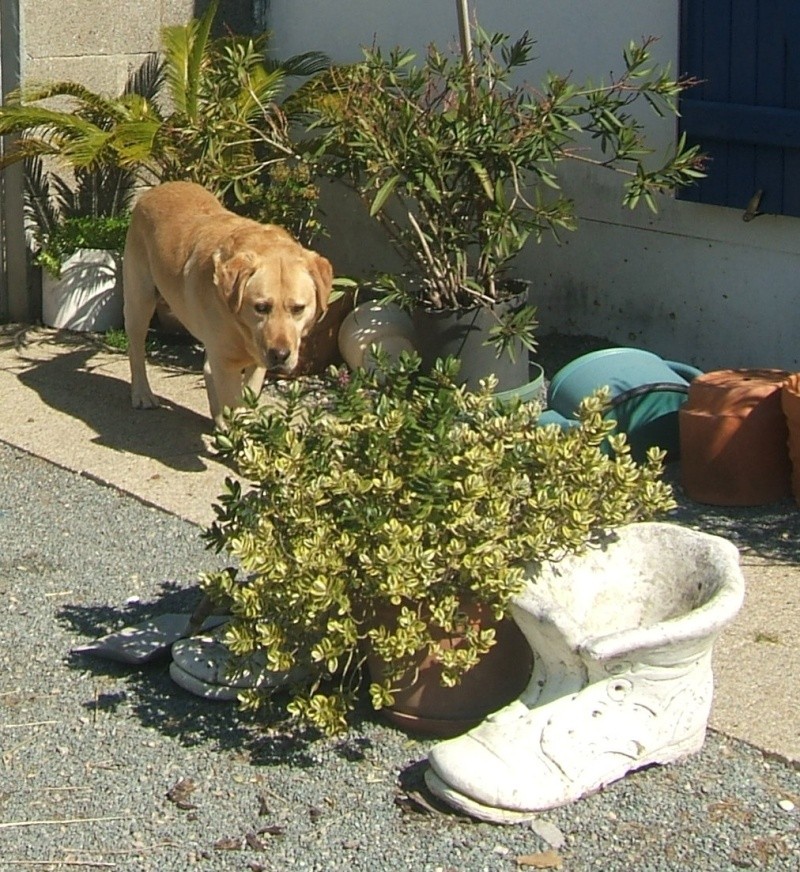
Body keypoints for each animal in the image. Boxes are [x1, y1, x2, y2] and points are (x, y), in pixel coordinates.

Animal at [121, 182, 332, 428]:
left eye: (298, 308)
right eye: (261, 307)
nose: (280, 355)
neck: (240, 325)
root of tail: (157, 189)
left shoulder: (254, 361)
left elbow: (248, 394)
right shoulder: (227, 361)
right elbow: (233, 402)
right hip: (140, 300)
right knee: (136, 349)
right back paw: (142, 393)